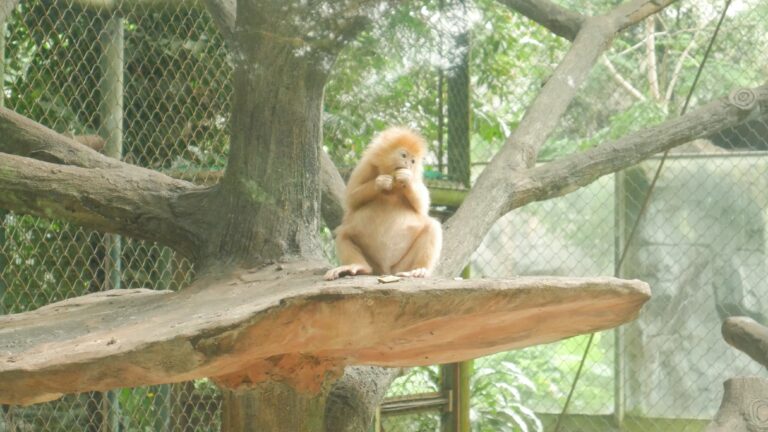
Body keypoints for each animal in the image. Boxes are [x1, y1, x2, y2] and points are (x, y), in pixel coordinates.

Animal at [324, 125, 444, 280]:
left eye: (413, 161)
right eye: (404, 155)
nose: (408, 164)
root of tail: (385, 270)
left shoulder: (416, 177)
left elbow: (422, 207)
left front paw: (407, 179)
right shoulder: (365, 167)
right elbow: (351, 199)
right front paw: (380, 182)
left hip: (401, 265)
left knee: (432, 227)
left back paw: (419, 270)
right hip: (372, 263)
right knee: (343, 233)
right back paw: (357, 266)